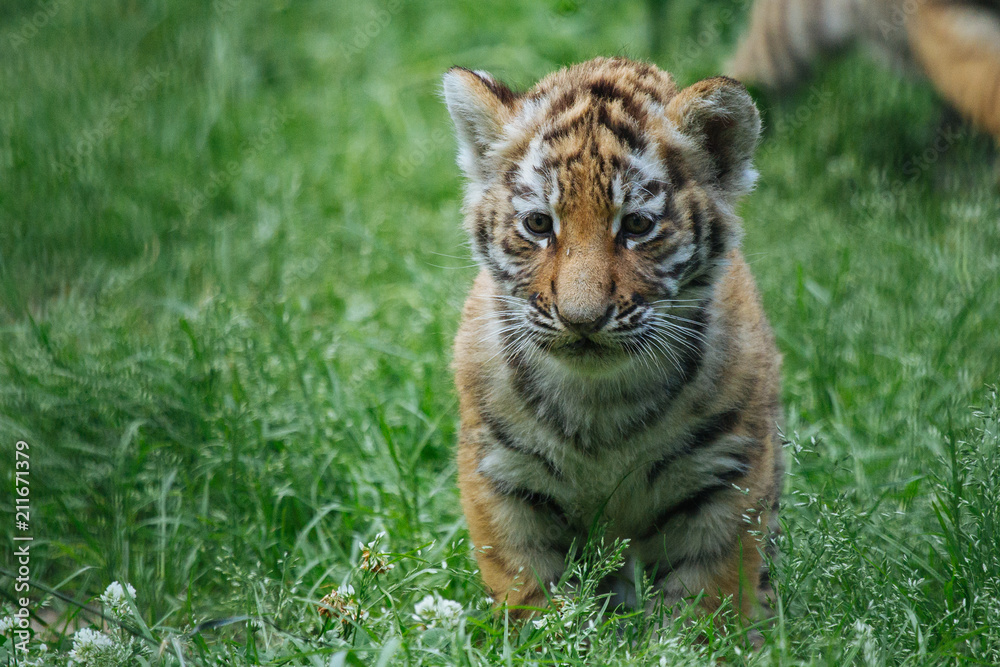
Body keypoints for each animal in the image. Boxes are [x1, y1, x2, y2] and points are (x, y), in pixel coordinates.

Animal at [442, 57, 784, 633]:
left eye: (638, 226)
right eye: (539, 224)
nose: (582, 319)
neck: (600, 399)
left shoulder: (726, 478)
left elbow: (706, 600)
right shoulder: (503, 477)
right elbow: (528, 590)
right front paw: (545, 637)